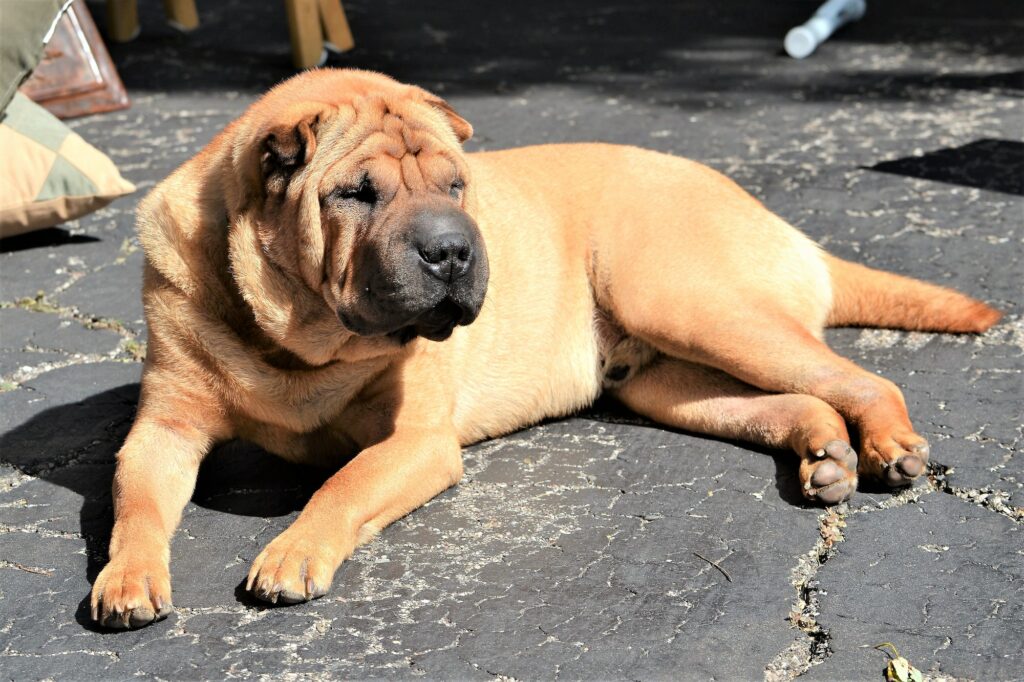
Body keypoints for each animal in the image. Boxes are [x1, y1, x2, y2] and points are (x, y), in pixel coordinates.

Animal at [88, 69, 999, 626]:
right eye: (355, 193)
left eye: (456, 184)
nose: (452, 250)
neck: (297, 344)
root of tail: (780, 221)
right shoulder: (163, 430)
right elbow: (135, 503)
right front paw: (127, 579)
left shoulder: (416, 442)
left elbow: (343, 484)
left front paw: (293, 552)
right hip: (665, 379)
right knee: (802, 397)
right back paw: (824, 456)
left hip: (687, 302)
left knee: (862, 378)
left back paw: (889, 449)